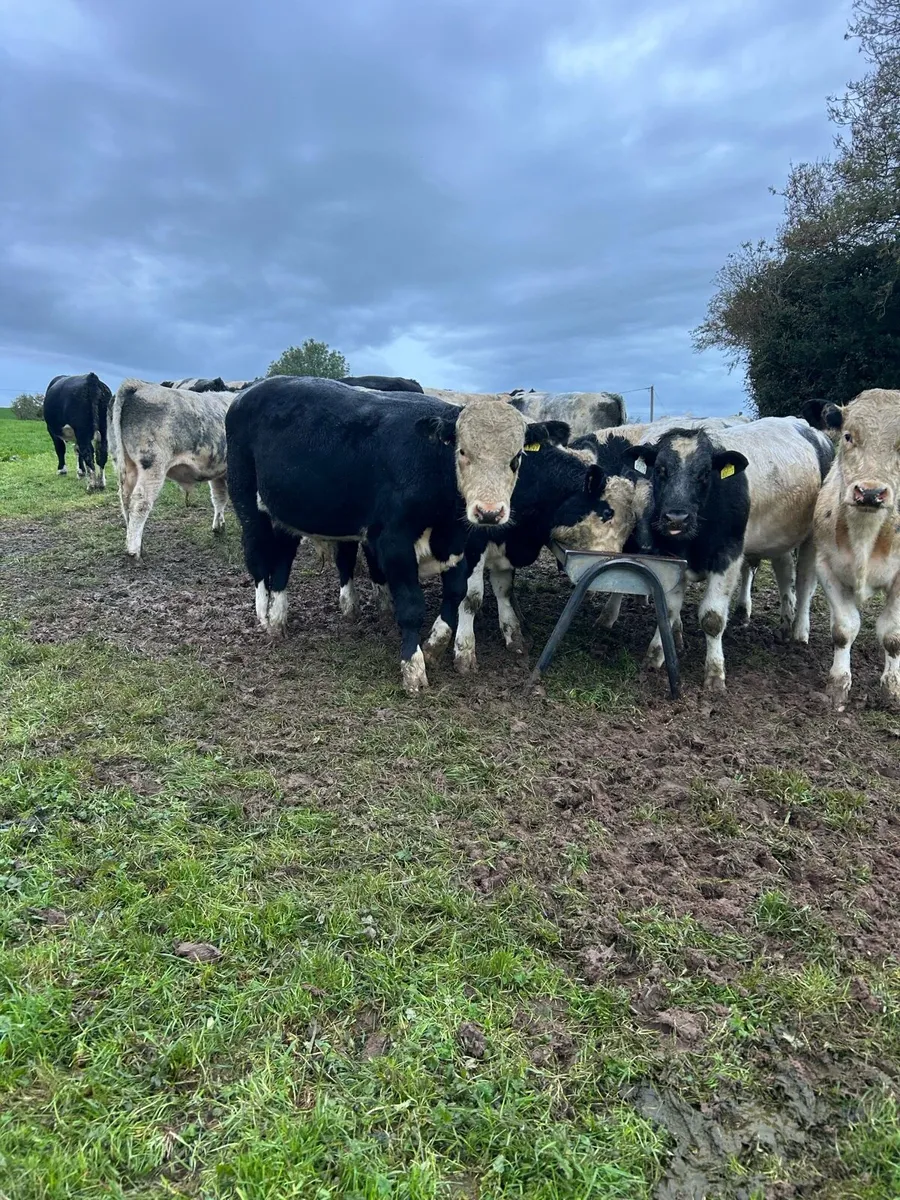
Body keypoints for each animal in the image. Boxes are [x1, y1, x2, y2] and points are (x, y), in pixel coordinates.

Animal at [109, 379, 235, 558]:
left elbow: (219, 497)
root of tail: (139, 385)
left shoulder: (219, 470)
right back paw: (134, 550)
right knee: (140, 502)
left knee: (125, 500)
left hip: (128, 465)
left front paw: (219, 526)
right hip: (153, 465)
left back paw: (133, 541)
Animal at [225, 375, 557, 694]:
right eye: (462, 451)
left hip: (288, 514)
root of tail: (249, 392)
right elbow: (411, 607)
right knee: (257, 557)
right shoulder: (394, 542)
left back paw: (278, 618)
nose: (489, 512)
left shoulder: (458, 545)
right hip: (248, 503)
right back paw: (264, 614)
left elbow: (456, 593)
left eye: (516, 458)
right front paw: (413, 667)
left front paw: (434, 646)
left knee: (283, 560)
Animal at [813, 389, 900, 711]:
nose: (871, 492)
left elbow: (892, 635)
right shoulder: (826, 567)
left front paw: (892, 688)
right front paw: (838, 684)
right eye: (848, 436)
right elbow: (844, 628)